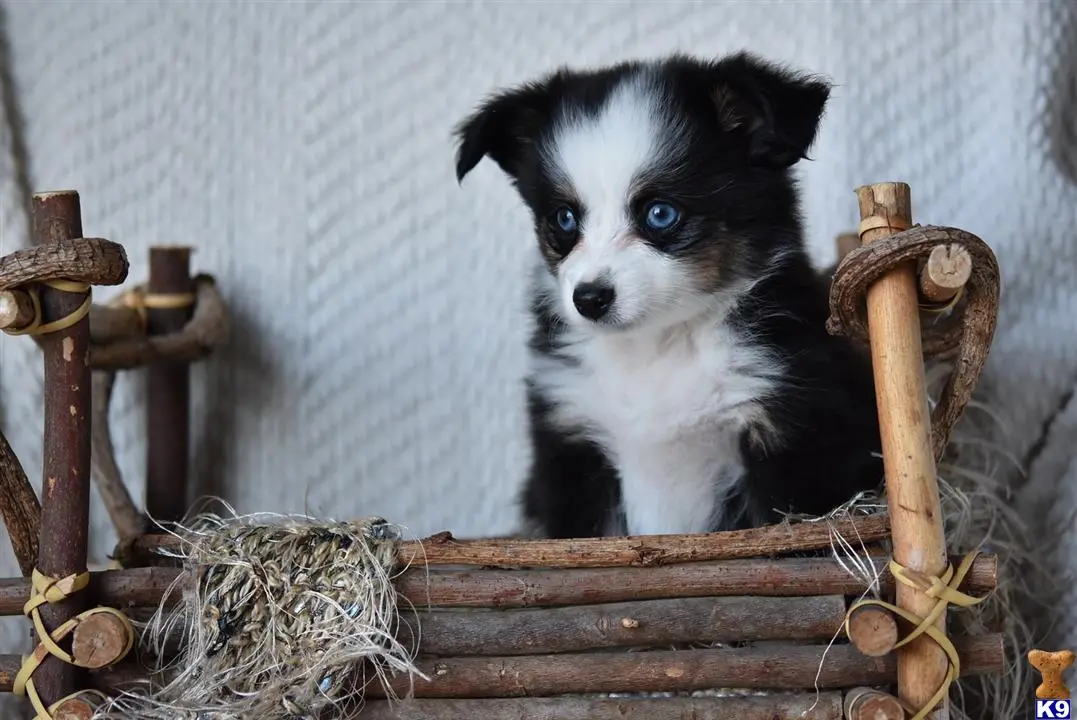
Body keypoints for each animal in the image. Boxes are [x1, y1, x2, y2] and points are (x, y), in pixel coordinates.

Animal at [454, 53, 883, 535]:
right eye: (564, 218)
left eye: (660, 213)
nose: (590, 299)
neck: (660, 346)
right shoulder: (573, 443)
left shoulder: (789, 428)